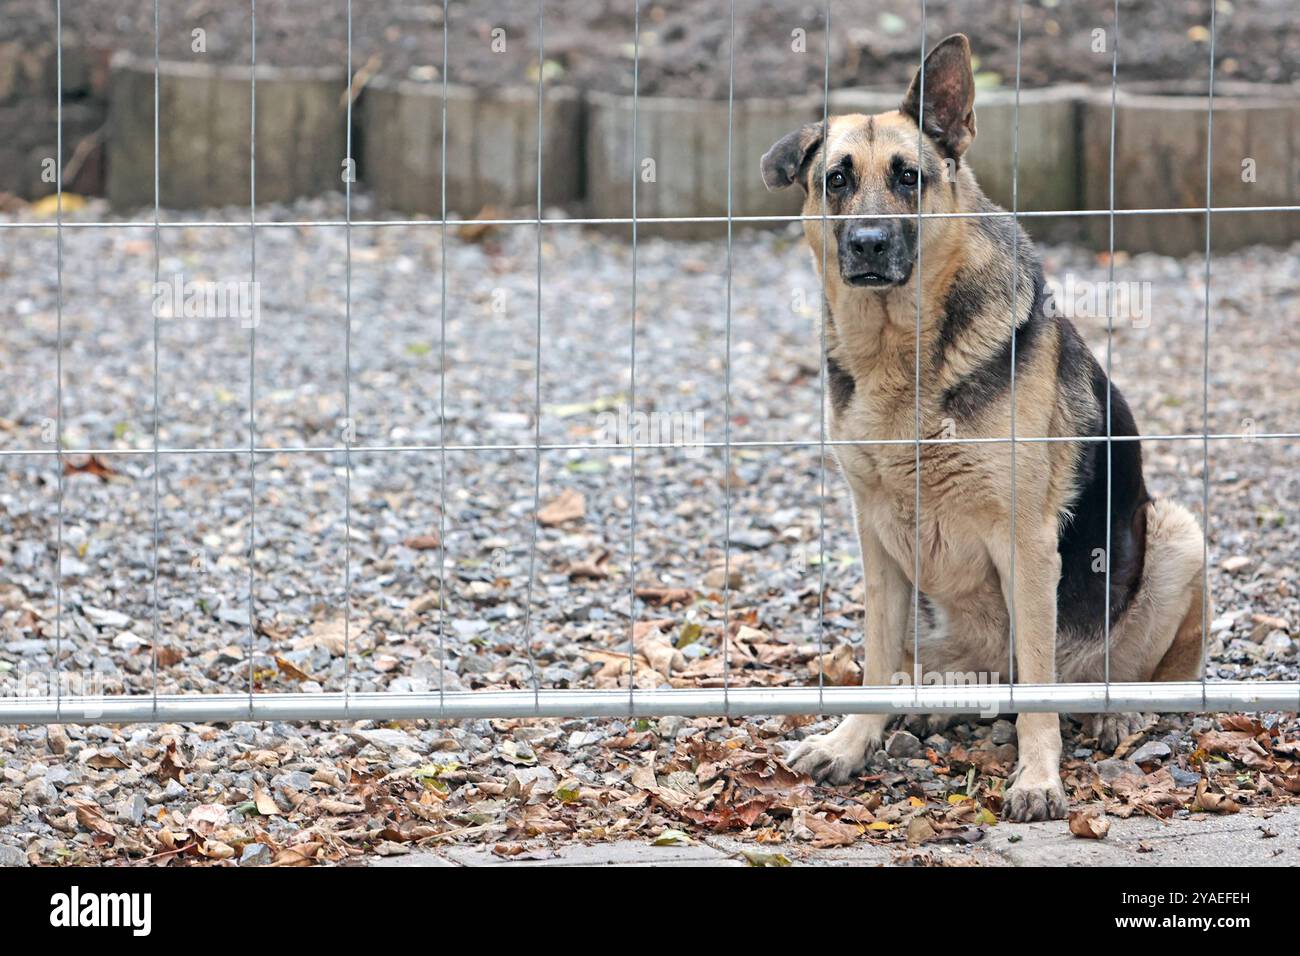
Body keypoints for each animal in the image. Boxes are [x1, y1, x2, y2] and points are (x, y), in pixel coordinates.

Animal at [759, 33, 1206, 816]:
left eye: (909, 177)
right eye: (836, 180)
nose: (868, 244)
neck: (901, 354)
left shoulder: (1024, 541)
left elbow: (1040, 692)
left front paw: (1038, 777)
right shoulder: (876, 537)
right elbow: (876, 658)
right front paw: (853, 742)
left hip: (1178, 535)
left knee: (1133, 672)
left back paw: (1118, 708)